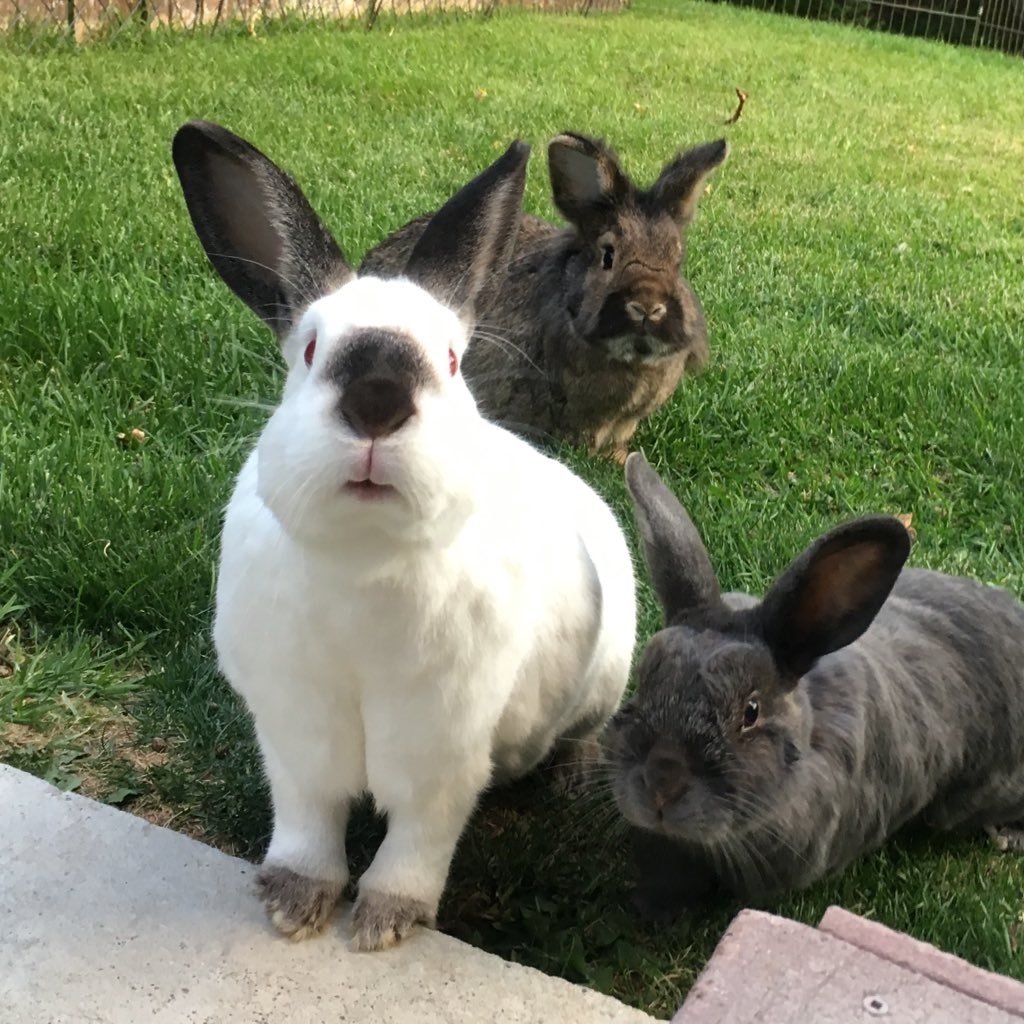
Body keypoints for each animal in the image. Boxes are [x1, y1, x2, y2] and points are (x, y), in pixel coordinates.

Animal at [175, 121, 634, 950]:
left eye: (450, 360)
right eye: (311, 350)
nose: (378, 399)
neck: (364, 561)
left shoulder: (444, 743)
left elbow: (420, 834)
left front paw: (384, 922)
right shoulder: (294, 730)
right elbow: (308, 818)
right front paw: (295, 903)